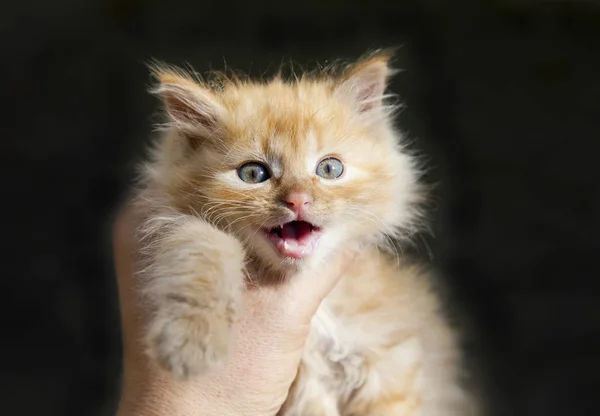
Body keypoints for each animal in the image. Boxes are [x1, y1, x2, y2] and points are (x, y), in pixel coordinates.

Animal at [132, 50, 478, 414]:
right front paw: (191, 339)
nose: (298, 200)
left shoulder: (393, 368)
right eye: (253, 174)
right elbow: (203, 247)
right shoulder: (178, 221)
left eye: (329, 168)